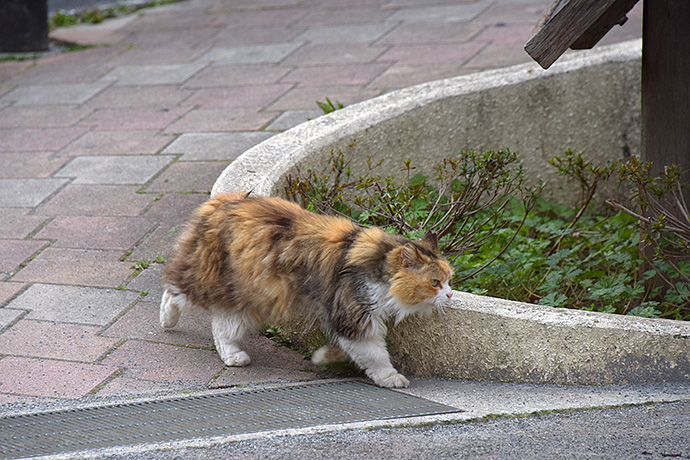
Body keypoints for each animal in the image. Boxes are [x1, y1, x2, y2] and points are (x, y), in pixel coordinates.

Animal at [159, 190, 454, 388]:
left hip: (252, 297)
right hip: (218, 281)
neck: (377, 264)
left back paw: (233, 356)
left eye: (450, 279)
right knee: (174, 290)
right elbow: (376, 356)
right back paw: (167, 320)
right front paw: (390, 378)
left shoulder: (346, 317)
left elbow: (349, 350)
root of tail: (224, 200)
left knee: (222, 326)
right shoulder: (353, 315)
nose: (451, 294)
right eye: (434, 283)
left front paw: (322, 357)